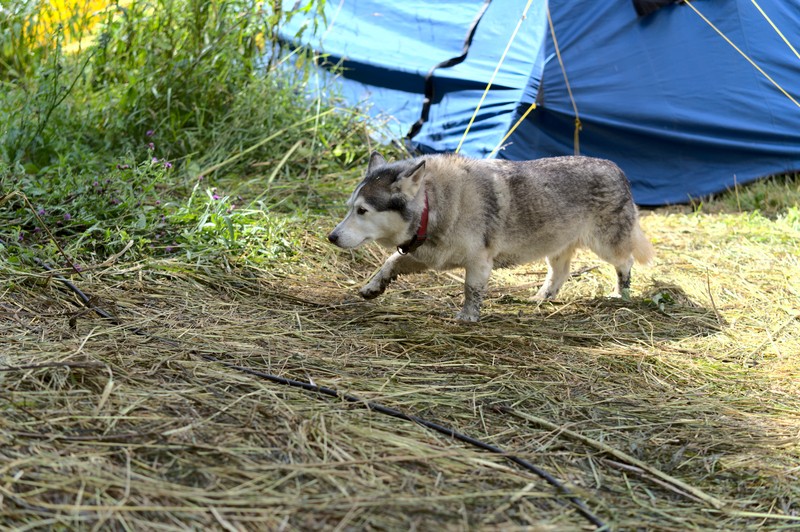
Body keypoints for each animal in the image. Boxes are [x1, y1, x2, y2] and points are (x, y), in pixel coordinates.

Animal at [326, 152, 656, 322]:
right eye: (350, 208)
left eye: (363, 211)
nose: (332, 237)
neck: (436, 204)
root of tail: (617, 168)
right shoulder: (425, 256)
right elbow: (390, 263)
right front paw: (373, 287)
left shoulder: (479, 261)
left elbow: (471, 290)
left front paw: (468, 317)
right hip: (555, 246)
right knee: (561, 272)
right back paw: (541, 297)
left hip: (606, 245)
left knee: (625, 263)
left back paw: (621, 294)